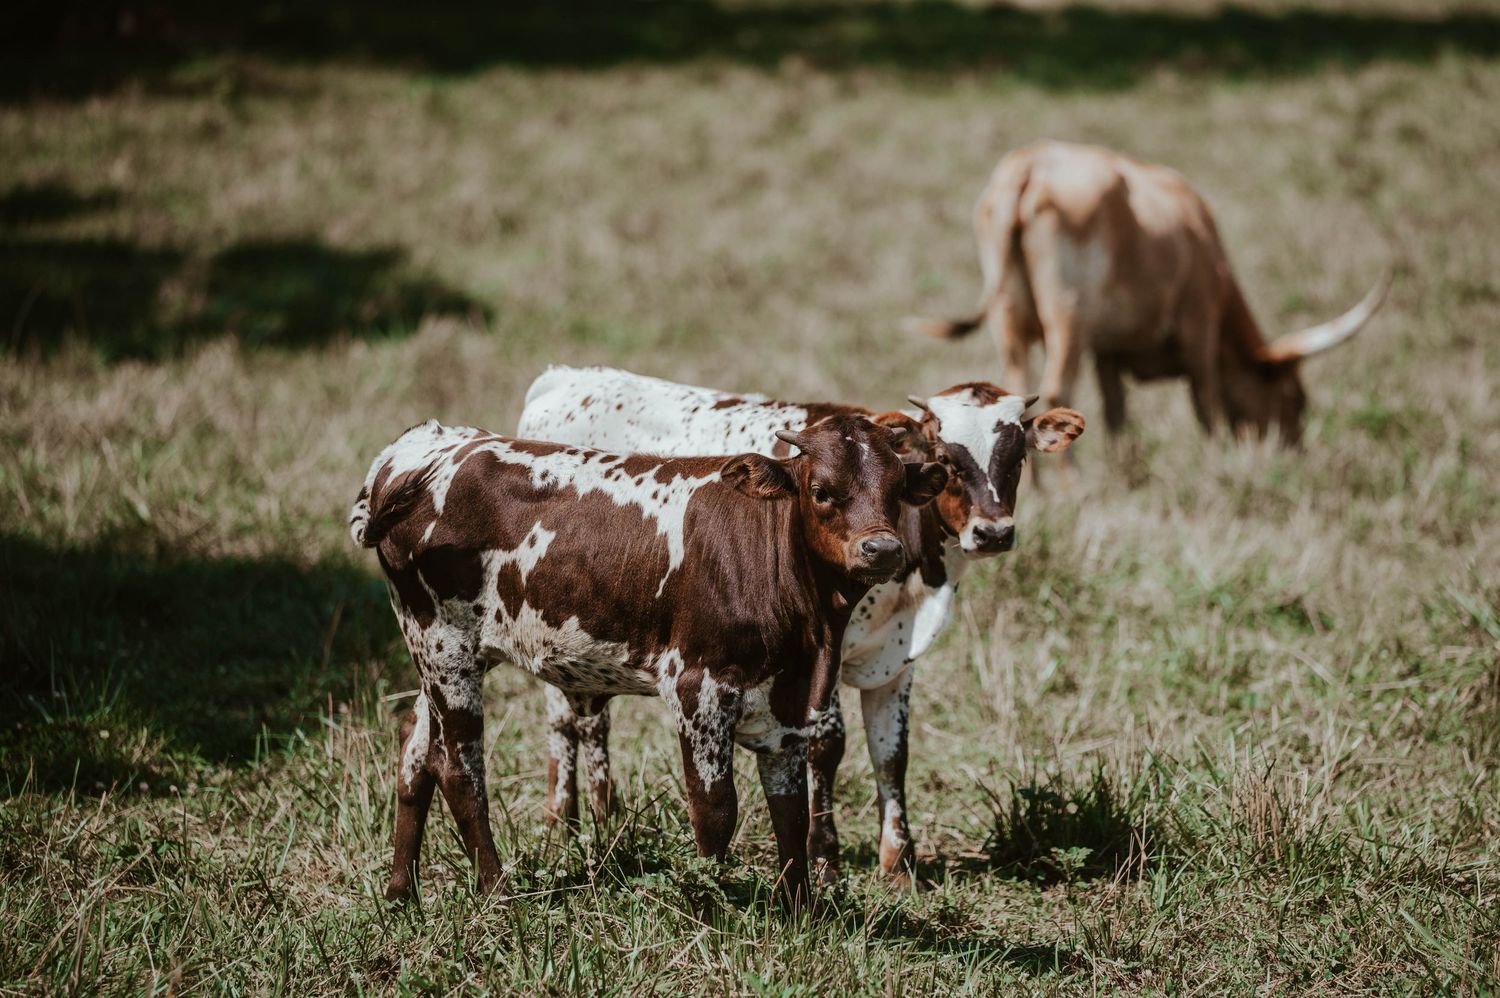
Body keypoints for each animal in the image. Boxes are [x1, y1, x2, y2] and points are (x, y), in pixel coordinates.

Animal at [350, 414, 948, 908]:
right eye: (822, 491)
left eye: (897, 491)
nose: (883, 550)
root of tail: (418, 452)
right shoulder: (701, 688)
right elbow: (716, 811)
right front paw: (715, 905)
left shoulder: (788, 701)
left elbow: (790, 810)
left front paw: (801, 914)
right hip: (445, 641)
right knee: (457, 767)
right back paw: (497, 892)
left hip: (446, 650)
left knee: (414, 751)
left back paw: (401, 893)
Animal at [519, 366, 1084, 885]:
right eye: (946, 459)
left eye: (1017, 457)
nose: (993, 532)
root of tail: (565, 377)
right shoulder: (823, 655)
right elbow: (826, 746)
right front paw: (825, 858)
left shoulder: (897, 661)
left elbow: (891, 754)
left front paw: (898, 864)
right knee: (567, 722)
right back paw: (562, 821)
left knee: (588, 715)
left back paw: (599, 815)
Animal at [912, 140, 1388, 445]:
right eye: (1294, 398)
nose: (1293, 449)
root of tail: (1027, 167)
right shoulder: (1199, 324)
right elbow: (1206, 401)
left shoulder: (1107, 351)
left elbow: (1116, 413)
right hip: (1068, 315)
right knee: (1057, 389)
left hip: (1009, 318)